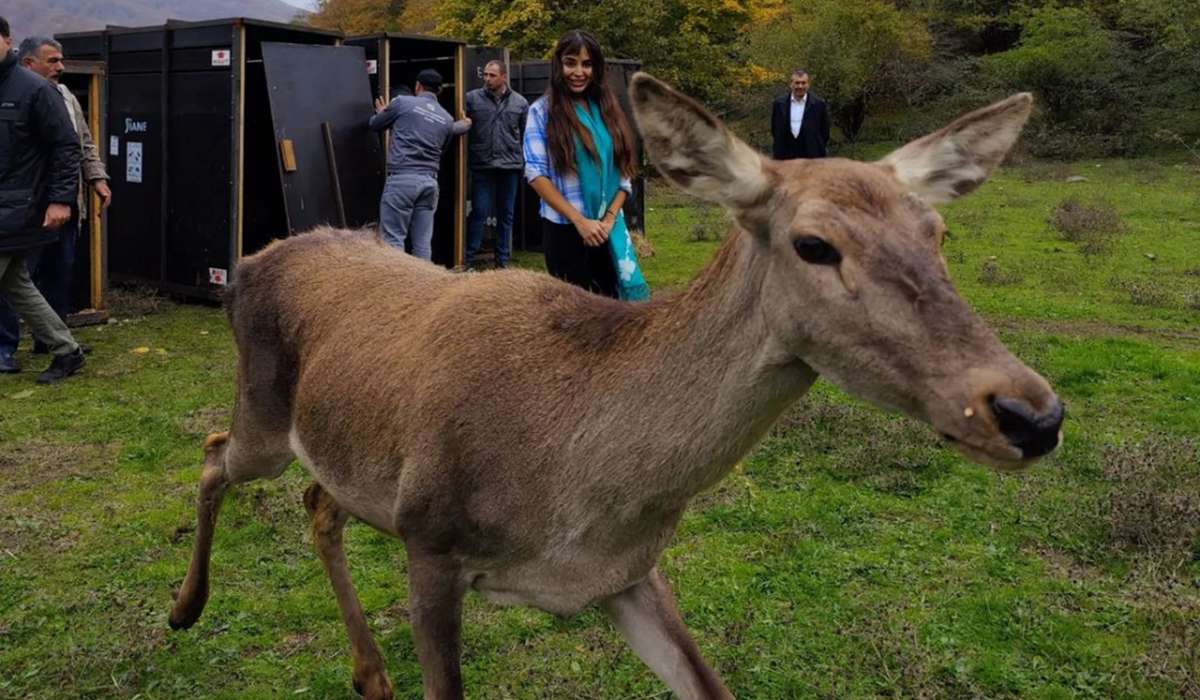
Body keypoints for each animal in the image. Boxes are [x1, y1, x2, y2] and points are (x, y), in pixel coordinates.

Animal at [166, 73, 1060, 696]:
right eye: (814, 245)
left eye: (937, 232)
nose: (1032, 412)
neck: (580, 490)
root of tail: (249, 263)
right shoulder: (433, 539)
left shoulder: (627, 574)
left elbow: (709, 684)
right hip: (264, 416)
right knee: (212, 450)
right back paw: (185, 607)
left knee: (318, 502)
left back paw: (370, 671)